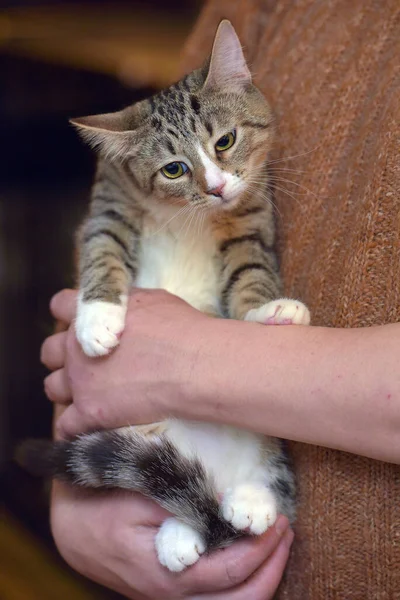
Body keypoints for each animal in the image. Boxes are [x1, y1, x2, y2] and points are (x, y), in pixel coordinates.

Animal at [18, 19, 310, 572]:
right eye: (173, 168)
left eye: (226, 141)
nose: (216, 188)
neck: (187, 218)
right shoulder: (109, 204)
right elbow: (102, 249)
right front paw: (97, 319)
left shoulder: (250, 222)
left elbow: (250, 276)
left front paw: (271, 310)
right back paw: (180, 532)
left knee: (258, 480)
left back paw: (252, 500)